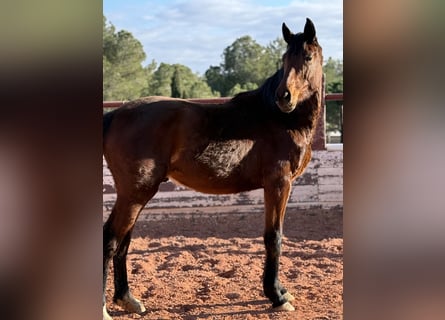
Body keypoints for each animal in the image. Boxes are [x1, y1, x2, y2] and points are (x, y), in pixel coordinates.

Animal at [103, 18, 322, 318]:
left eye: (307, 57)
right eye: (285, 58)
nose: (283, 97)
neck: (279, 119)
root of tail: (115, 114)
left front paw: (279, 291)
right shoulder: (279, 183)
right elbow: (274, 237)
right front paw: (277, 296)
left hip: (134, 195)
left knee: (123, 241)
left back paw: (128, 299)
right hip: (135, 194)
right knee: (110, 239)